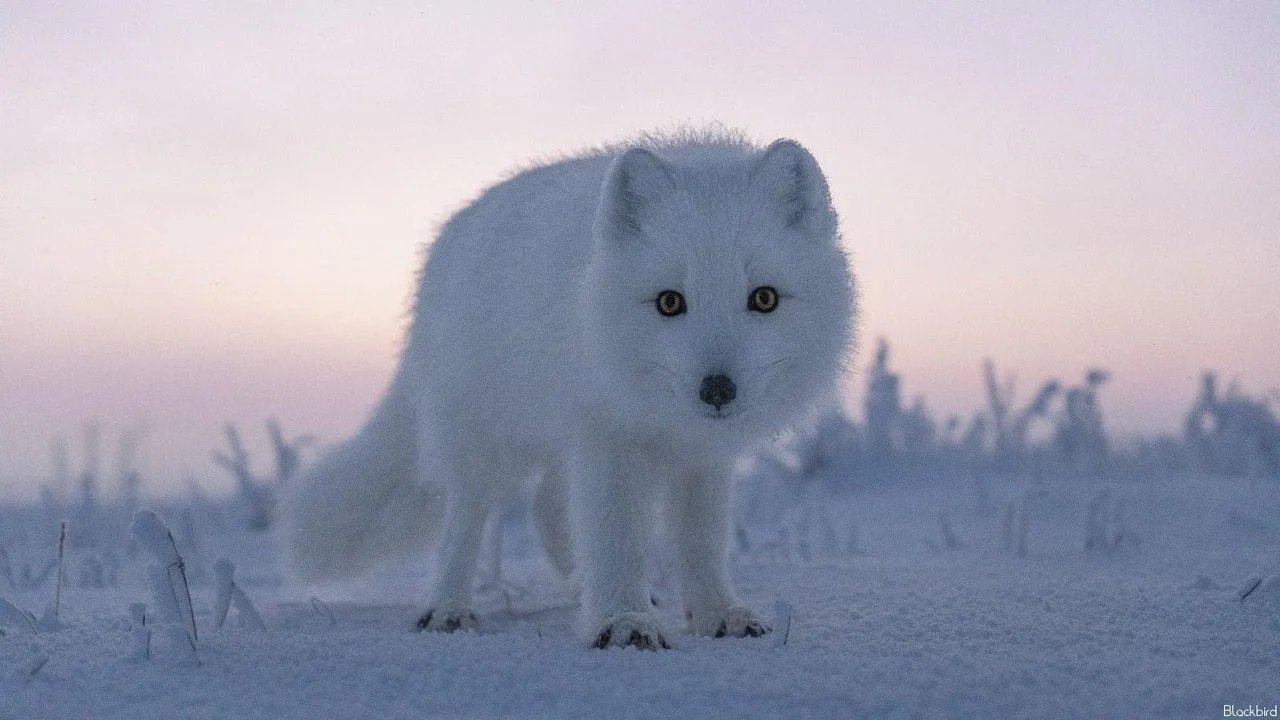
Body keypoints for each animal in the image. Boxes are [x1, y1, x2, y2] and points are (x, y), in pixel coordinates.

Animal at [285, 126, 855, 648]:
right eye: (670, 302)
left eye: (764, 298)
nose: (717, 390)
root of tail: (447, 239)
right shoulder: (608, 440)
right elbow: (614, 536)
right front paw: (624, 623)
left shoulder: (702, 458)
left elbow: (701, 544)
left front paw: (719, 615)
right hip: (482, 439)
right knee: (465, 518)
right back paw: (447, 608)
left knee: (548, 511)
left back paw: (584, 591)